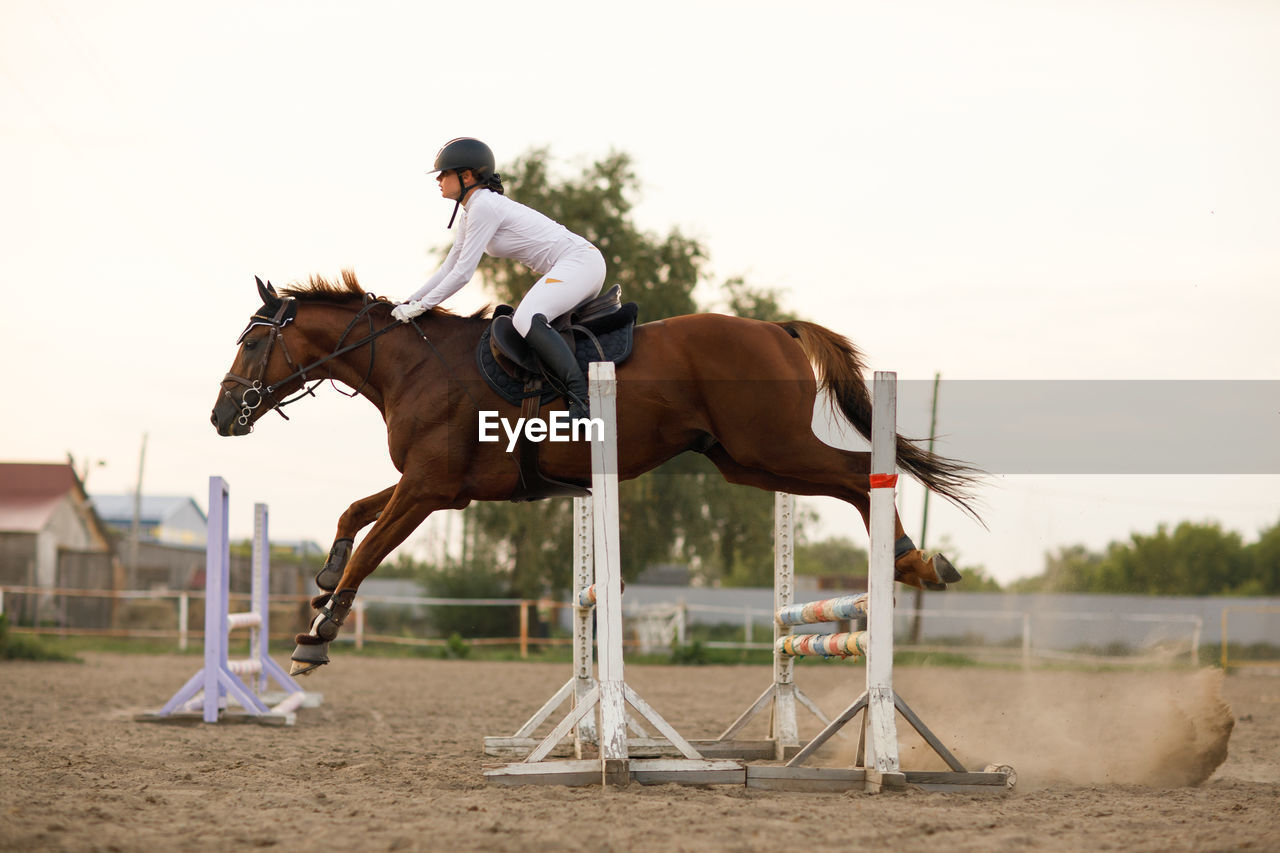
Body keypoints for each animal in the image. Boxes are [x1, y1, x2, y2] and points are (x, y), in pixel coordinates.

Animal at [212, 272, 977, 671]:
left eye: (251, 342)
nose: (223, 415)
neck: (415, 366)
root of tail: (775, 327)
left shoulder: (429, 490)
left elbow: (372, 548)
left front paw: (316, 637)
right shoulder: (434, 488)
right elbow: (352, 516)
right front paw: (321, 577)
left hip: (773, 445)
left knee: (859, 473)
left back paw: (911, 561)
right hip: (747, 462)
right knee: (850, 478)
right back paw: (913, 564)